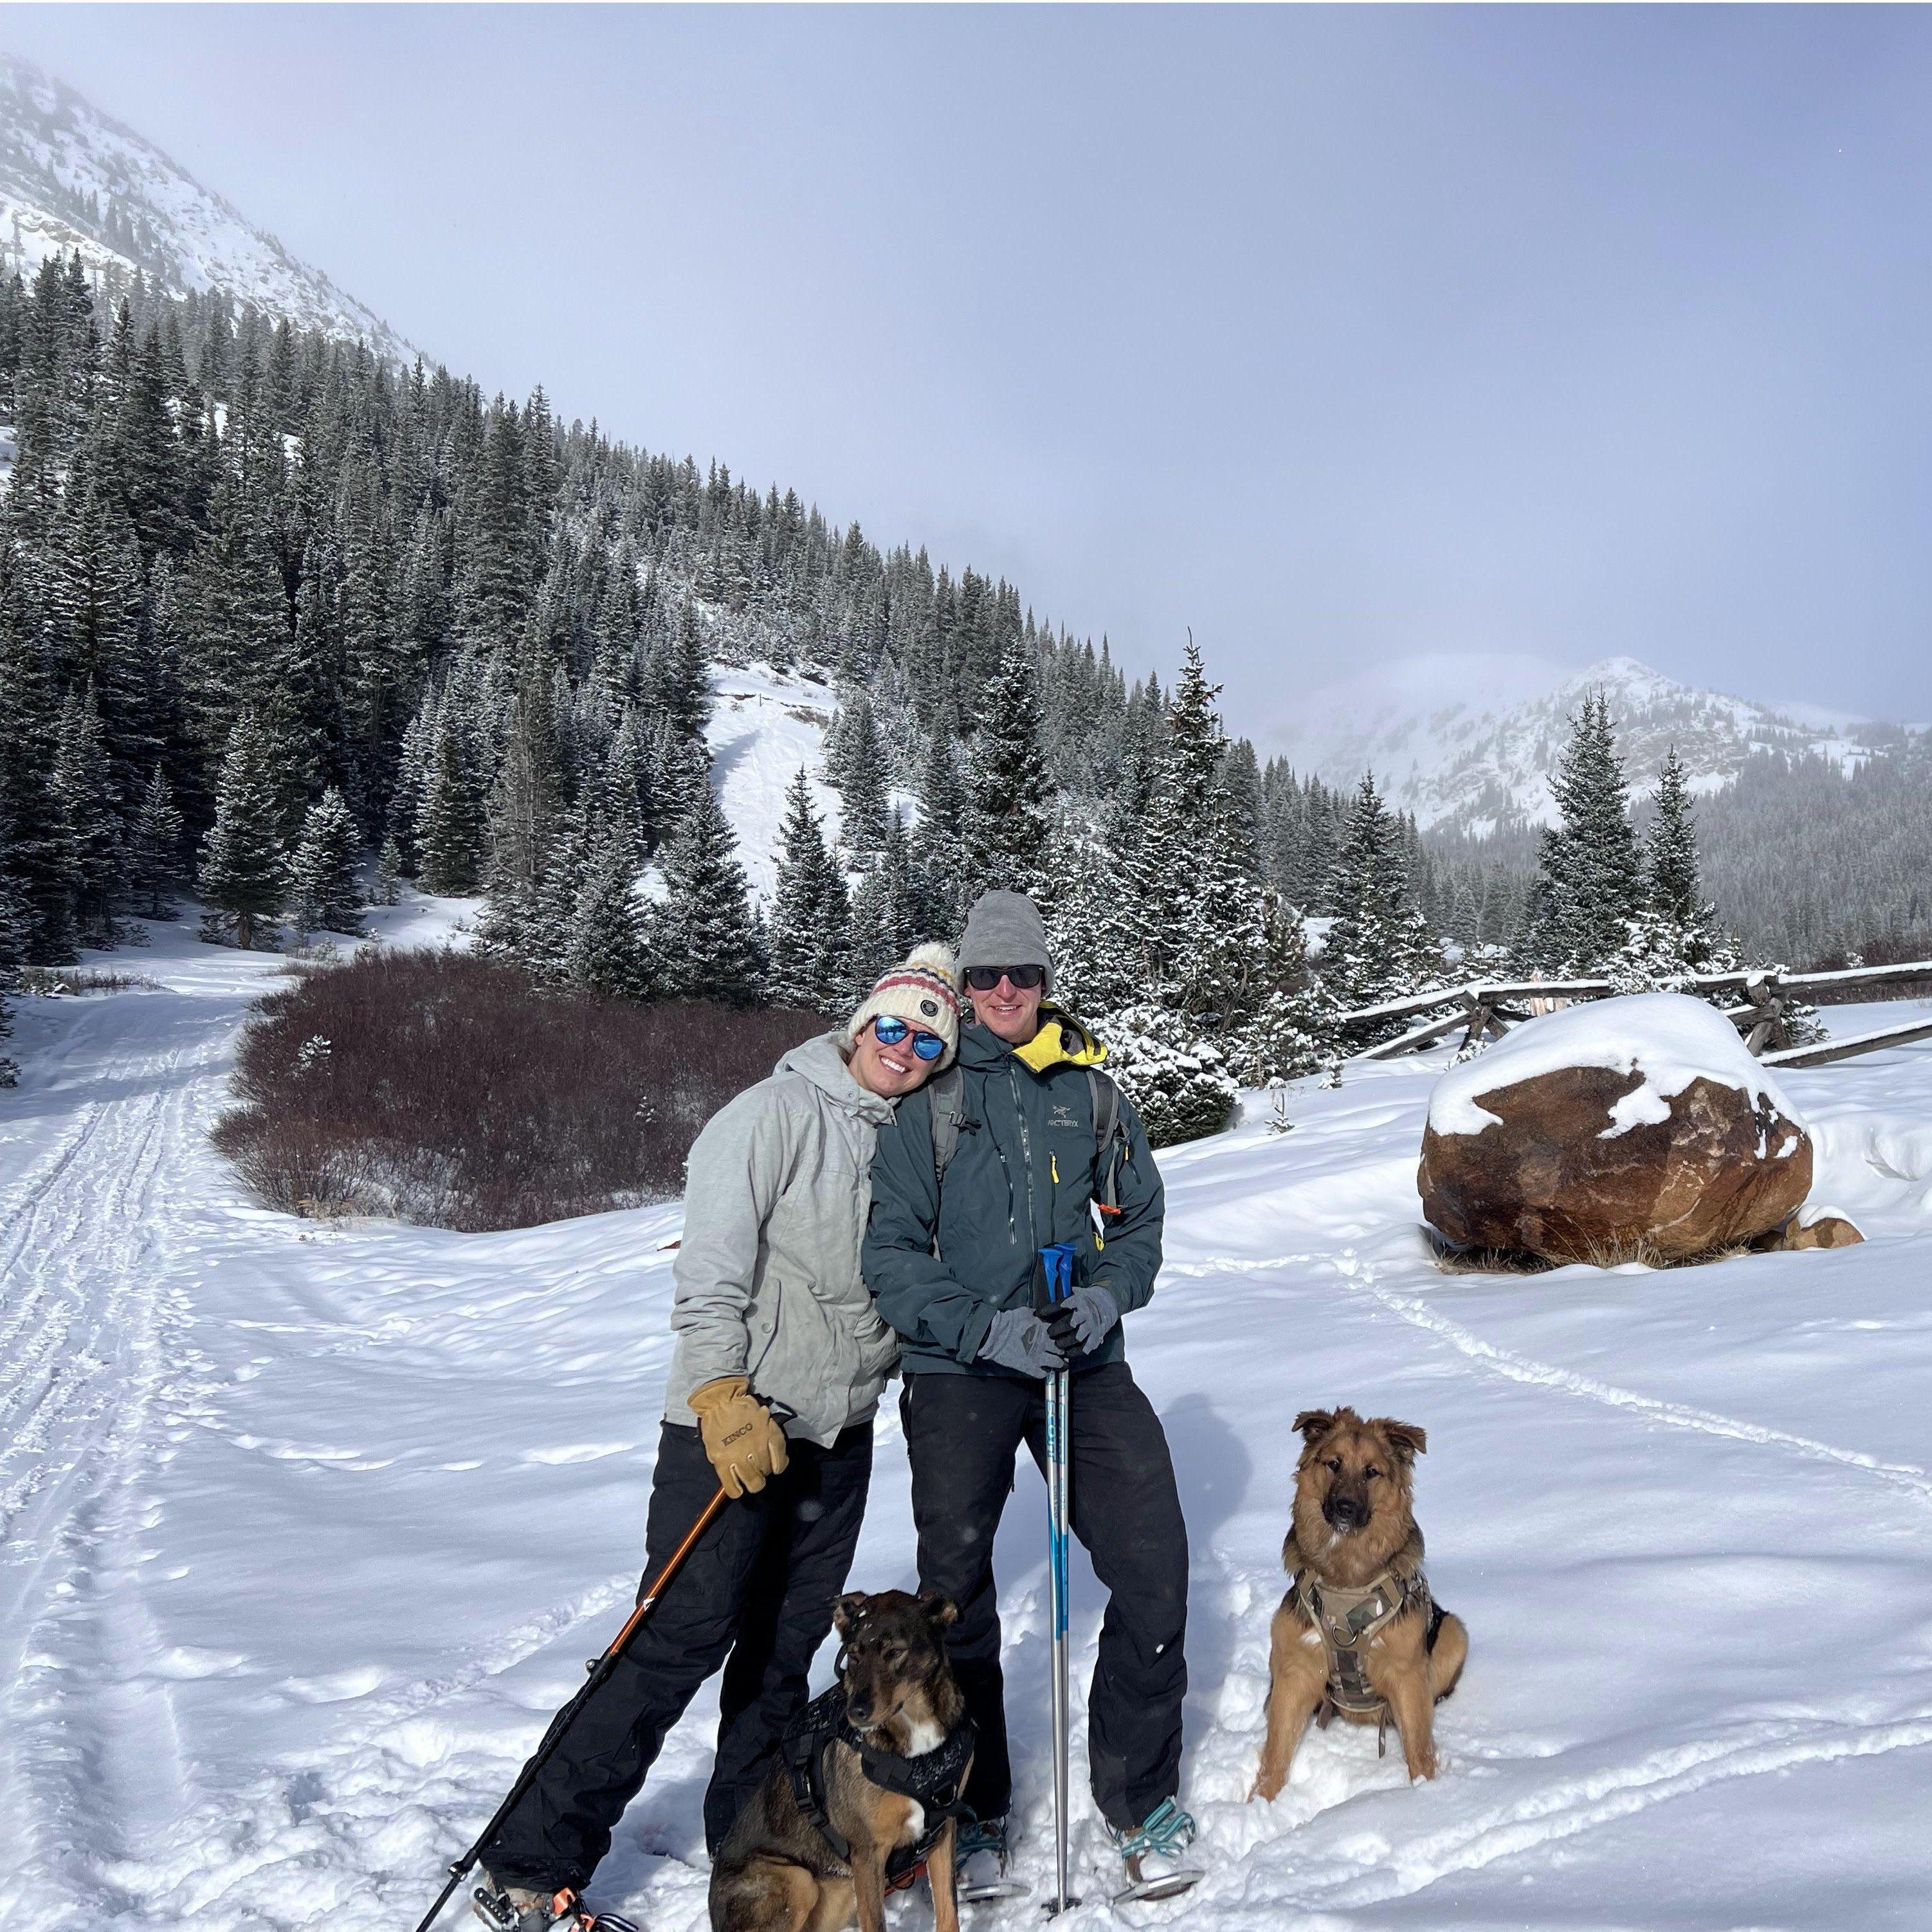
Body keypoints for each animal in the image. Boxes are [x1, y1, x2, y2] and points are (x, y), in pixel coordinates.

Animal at [711, 1592, 974, 1932]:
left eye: (895, 1652)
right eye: (854, 1655)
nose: (856, 1712)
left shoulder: (943, 1829)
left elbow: (948, 1912)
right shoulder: (867, 1855)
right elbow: (876, 1923)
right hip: (797, 1881)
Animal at [1244, 1406, 1468, 1792]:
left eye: (1371, 1472)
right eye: (1333, 1464)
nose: (1345, 1508)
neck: (1346, 1580)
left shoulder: (1407, 1676)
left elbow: (1420, 1750)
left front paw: (1426, 1795)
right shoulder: (1295, 1670)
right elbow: (1275, 1757)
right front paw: (1261, 1802)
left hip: (1454, 1630)